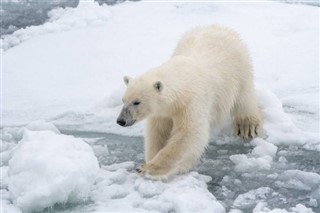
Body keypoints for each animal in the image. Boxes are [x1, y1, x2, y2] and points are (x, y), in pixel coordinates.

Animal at [117, 24, 262, 180]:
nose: (121, 121)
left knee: (244, 98)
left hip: (239, 67)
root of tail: (218, 26)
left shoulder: (191, 102)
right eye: (123, 100)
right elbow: (158, 132)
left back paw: (247, 126)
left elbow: (188, 134)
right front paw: (150, 160)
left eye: (136, 102)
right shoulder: (162, 112)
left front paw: (148, 169)